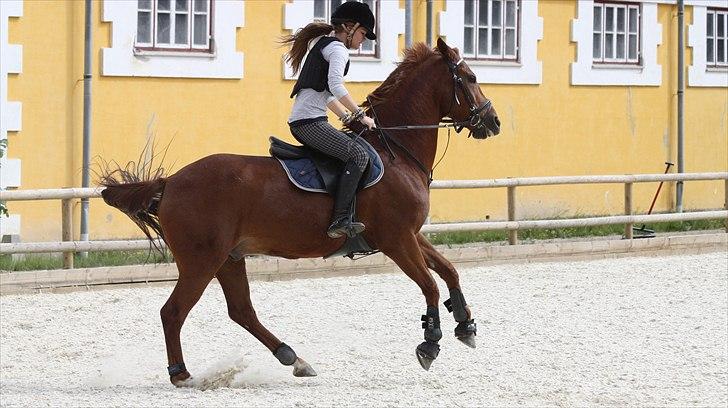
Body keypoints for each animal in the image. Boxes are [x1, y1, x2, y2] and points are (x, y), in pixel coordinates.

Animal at [100, 38, 500, 386]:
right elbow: (429, 284)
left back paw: (293, 358)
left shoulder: (410, 235)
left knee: (241, 311)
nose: (493, 121)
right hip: (202, 260)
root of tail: (171, 182)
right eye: (470, 78)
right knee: (174, 312)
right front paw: (431, 341)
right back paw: (182, 374)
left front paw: (465, 324)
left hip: (229, 257)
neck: (398, 151)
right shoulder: (397, 240)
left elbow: (449, 271)